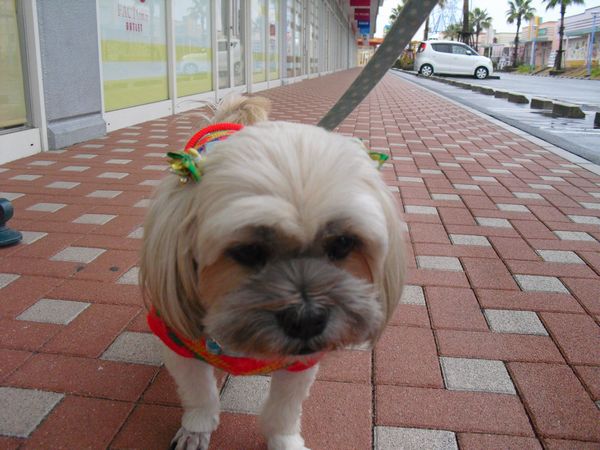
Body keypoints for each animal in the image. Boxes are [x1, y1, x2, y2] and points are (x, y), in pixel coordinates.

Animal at [140, 95, 405, 450]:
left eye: (343, 243)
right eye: (248, 251)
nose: (307, 320)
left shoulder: (303, 361)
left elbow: (284, 411)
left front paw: (285, 441)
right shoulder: (180, 343)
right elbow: (200, 396)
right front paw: (196, 430)